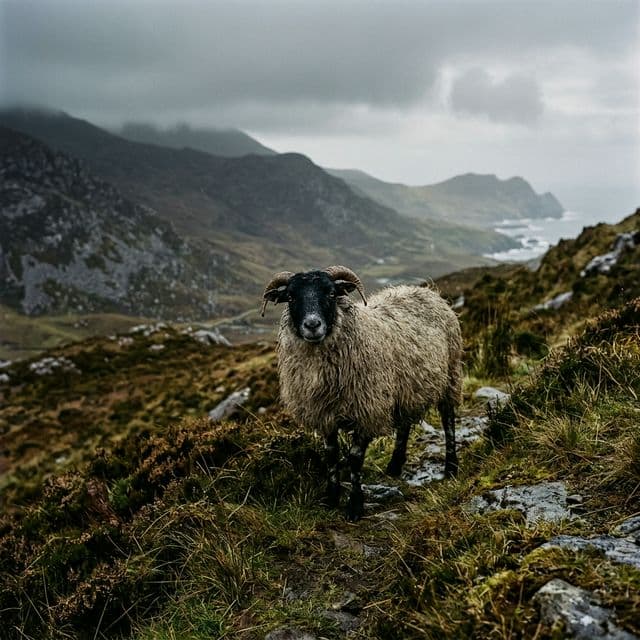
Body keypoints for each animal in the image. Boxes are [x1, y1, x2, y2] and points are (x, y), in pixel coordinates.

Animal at [261, 265, 463, 521]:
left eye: (331, 293)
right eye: (290, 297)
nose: (312, 325)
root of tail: (426, 290)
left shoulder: (367, 411)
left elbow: (355, 459)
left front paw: (355, 506)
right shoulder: (325, 415)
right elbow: (331, 455)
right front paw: (331, 498)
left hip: (450, 375)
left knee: (448, 420)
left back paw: (451, 467)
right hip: (406, 387)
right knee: (404, 425)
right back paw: (395, 466)